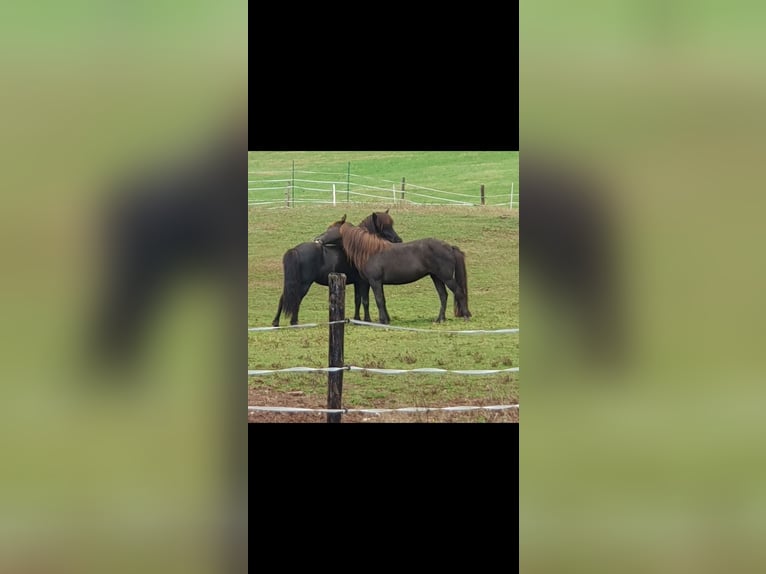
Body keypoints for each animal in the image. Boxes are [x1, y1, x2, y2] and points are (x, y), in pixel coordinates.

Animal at [272, 210, 402, 326]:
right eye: (384, 227)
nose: (398, 240)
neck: (362, 248)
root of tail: (295, 250)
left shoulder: (357, 283)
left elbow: (357, 300)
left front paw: (357, 319)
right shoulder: (364, 282)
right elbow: (365, 300)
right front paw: (367, 320)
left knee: (284, 298)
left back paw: (276, 322)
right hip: (304, 284)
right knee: (296, 298)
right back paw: (293, 322)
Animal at [315, 215, 471, 324]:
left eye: (329, 230)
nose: (317, 239)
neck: (370, 252)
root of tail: (449, 247)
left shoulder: (374, 281)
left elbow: (378, 300)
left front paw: (382, 321)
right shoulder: (370, 283)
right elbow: (376, 300)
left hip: (446, 277)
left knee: (459, 292)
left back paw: (466, 316)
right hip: (436, 277)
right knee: (443, 296)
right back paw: (440, 319)